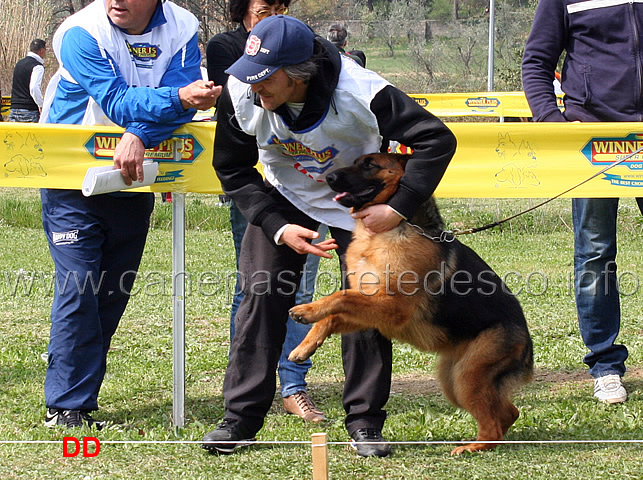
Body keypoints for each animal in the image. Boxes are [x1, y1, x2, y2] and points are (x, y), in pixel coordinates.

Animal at [290, 153, 536, 454]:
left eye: (370, 164)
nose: (329, 177)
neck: (392, 229)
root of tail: (526, 340)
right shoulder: (372, 309)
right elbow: (333, 315)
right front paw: (305, 345)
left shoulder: (392, 308)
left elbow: (341, 296)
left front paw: (306, 310)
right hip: (453, 381)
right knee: (508, 413)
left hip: (466, 378)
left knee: (494, 425)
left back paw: (473, 447)